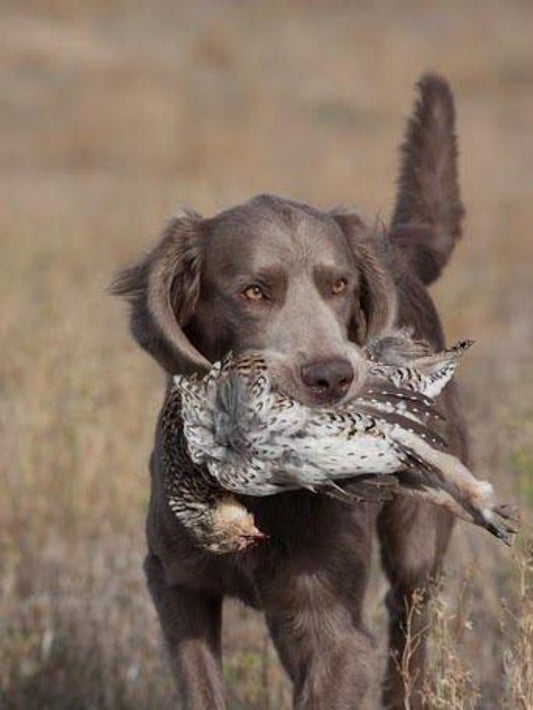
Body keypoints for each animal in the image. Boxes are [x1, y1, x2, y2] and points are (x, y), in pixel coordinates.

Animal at [111, 75, 466, 708]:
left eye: (340, 285)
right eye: (254, 291)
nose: (332, 377)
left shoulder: (338, 634)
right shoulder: (175, 581)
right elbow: (203, 686)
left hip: (416, 548)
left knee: (410, 629)